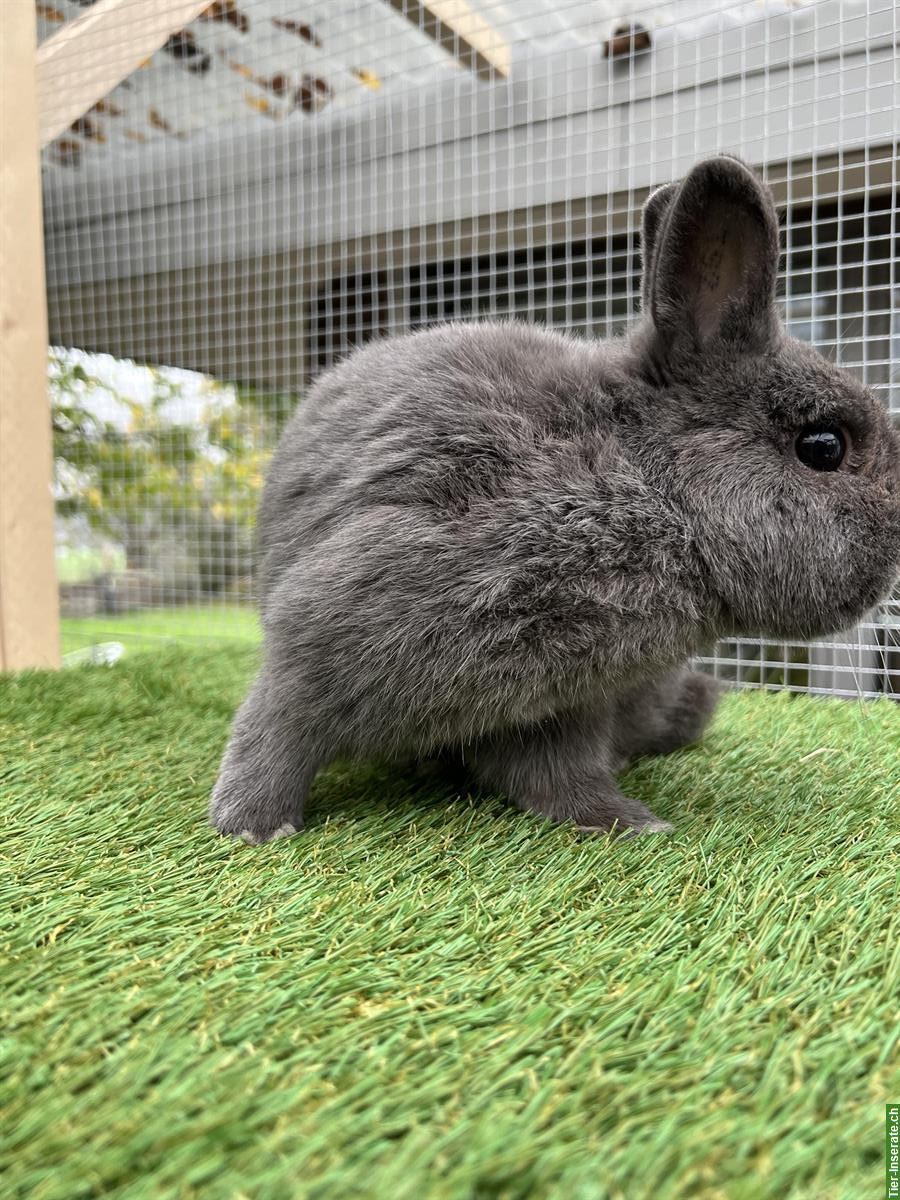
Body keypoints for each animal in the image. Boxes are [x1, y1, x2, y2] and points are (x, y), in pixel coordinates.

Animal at [211, 154, 900, 840]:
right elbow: (279, 727)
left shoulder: (563, 702)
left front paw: (618, 820)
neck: (650, 484)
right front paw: (250, 826)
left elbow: (556, 776)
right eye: (823, 447)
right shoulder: (335, 617)